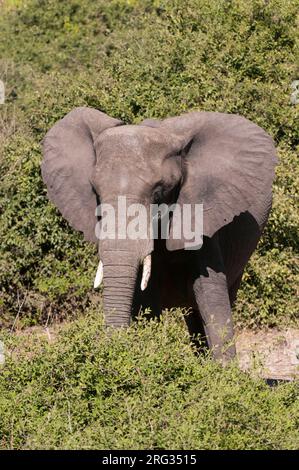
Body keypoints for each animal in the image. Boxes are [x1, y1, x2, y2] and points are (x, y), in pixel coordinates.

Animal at [41, 107, 278, 364]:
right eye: (95, 191)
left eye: (158, 191)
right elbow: (147, 301)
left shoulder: (203, 214)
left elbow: (210, 296)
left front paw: (224, 372)